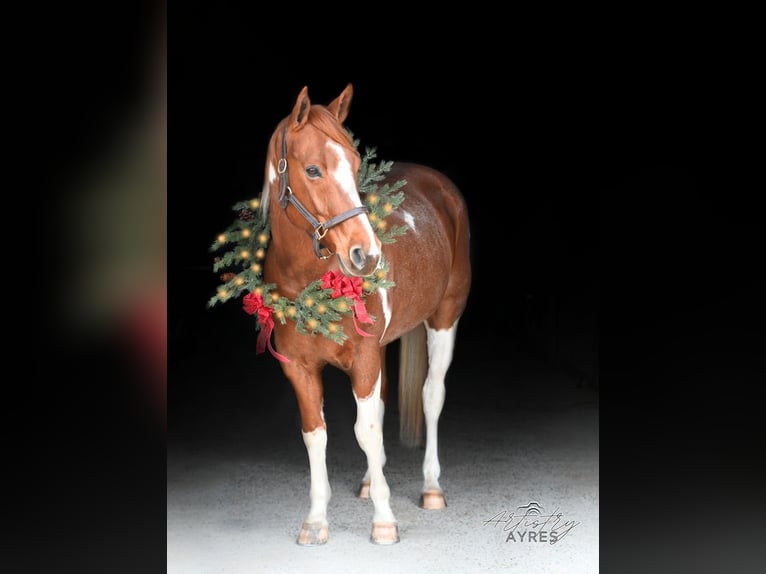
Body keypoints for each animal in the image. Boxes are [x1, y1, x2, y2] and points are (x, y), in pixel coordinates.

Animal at [255, 83, 472, 548]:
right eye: (313, 169)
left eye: (355, 166)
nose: (366, 255)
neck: (311, 287)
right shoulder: (299, 367)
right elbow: (315, 433)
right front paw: (316, 521)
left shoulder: (365, 358)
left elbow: (366, 430)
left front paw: (385, 521)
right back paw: (372, 483)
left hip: (445, 318)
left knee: (432, 395)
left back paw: (431, 488)